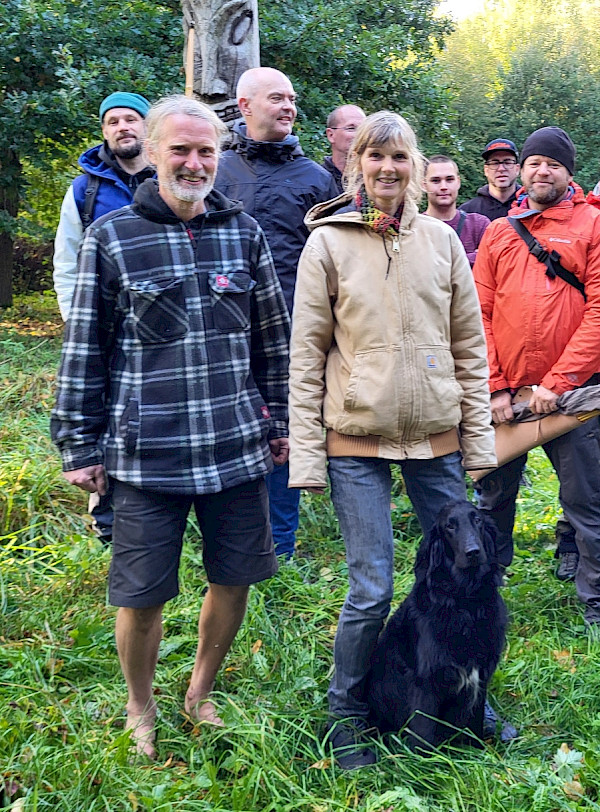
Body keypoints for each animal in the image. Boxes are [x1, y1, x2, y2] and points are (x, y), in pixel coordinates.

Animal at [366, 498, 506, 752]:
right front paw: (425, 761)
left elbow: (475, 726)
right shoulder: (426, 683)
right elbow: (423, 734)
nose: (473, 552)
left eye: (477, 519)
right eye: (450, 526)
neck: (465, 604)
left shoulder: (481, 677)